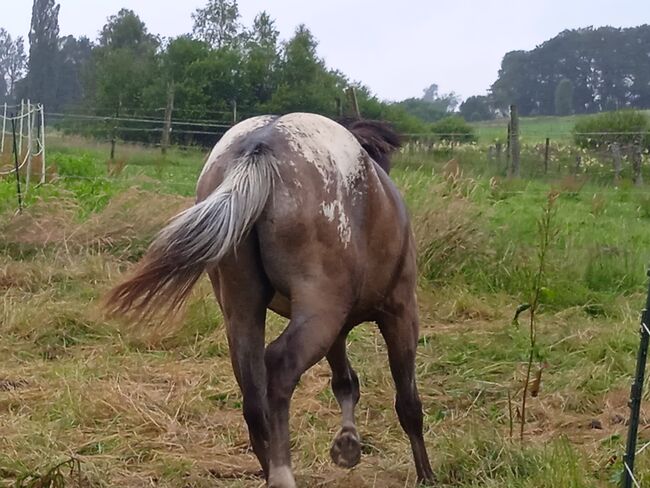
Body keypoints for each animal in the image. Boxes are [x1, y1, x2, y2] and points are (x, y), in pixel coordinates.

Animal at [104, 112, 432, 486]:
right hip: (320, 311)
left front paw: (347, 444)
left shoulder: (338, 329)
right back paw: (283, 472)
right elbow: (408, 403)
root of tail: (261, 146)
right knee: (279, 365)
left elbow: (345, 382)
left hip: (244, 309)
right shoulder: (399, 313)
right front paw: (425, 474)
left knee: (253, 396)